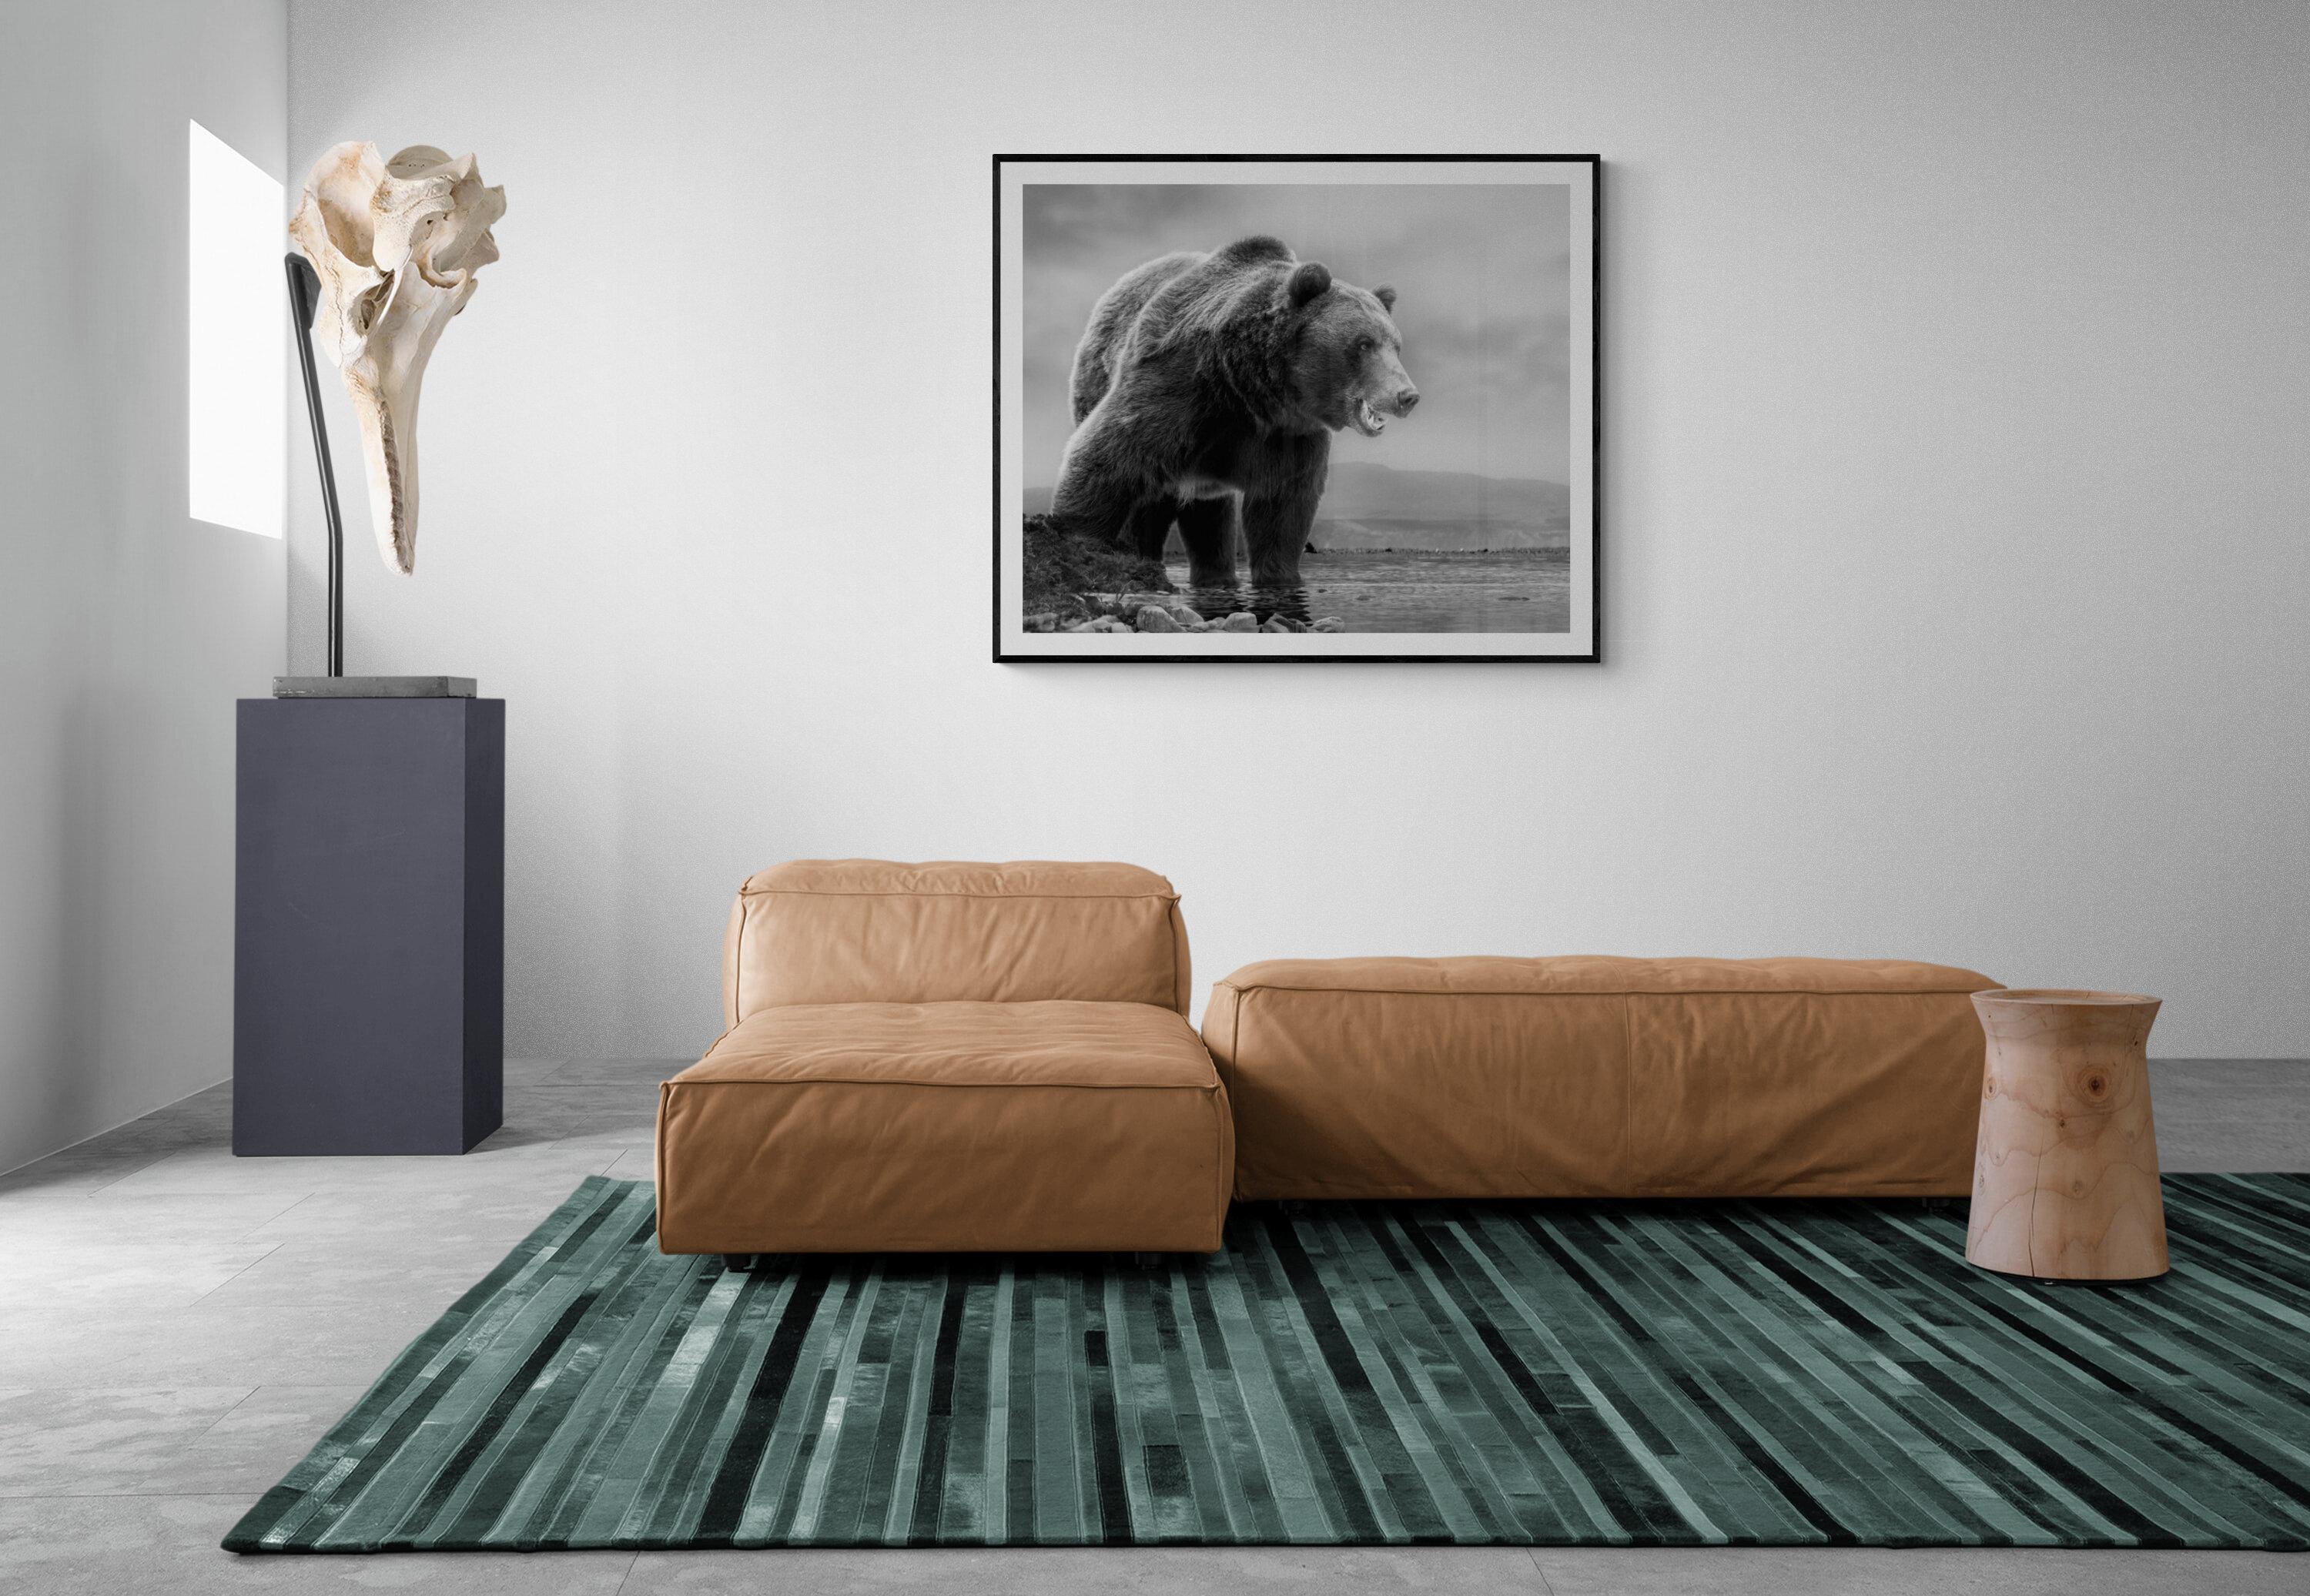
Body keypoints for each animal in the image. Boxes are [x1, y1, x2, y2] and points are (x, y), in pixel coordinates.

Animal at [1045, 235, 1418, 590]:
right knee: (1149, 504)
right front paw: (1080, 543)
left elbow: (1283, 507)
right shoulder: (1179, 387)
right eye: (1364, 343)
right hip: (1097, 382)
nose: (1407, 396)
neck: (1251, 391)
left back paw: (1217, 578)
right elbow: (1108, 457)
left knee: (1209, 516)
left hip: (1203, 479)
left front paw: (1281, 576)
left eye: (1396, 346)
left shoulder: (1289, 435)